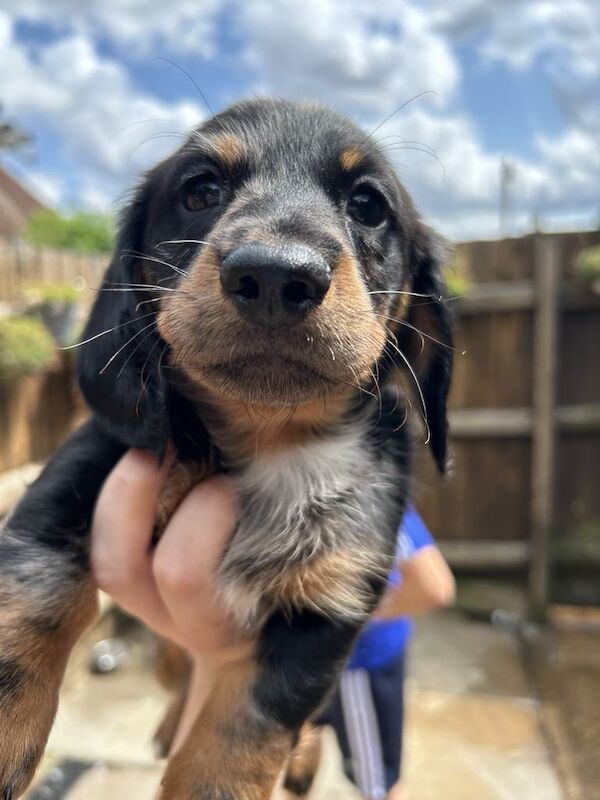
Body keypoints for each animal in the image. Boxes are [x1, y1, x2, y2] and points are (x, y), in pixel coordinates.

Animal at [0, 100, 450, 800]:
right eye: (201, 191)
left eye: (368, 205)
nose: (274, 274)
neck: (273, 439)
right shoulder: (67, 482)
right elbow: (39, 598)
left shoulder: (330, 609)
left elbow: (242, 733)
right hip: (163, 653)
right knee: (177, 681)